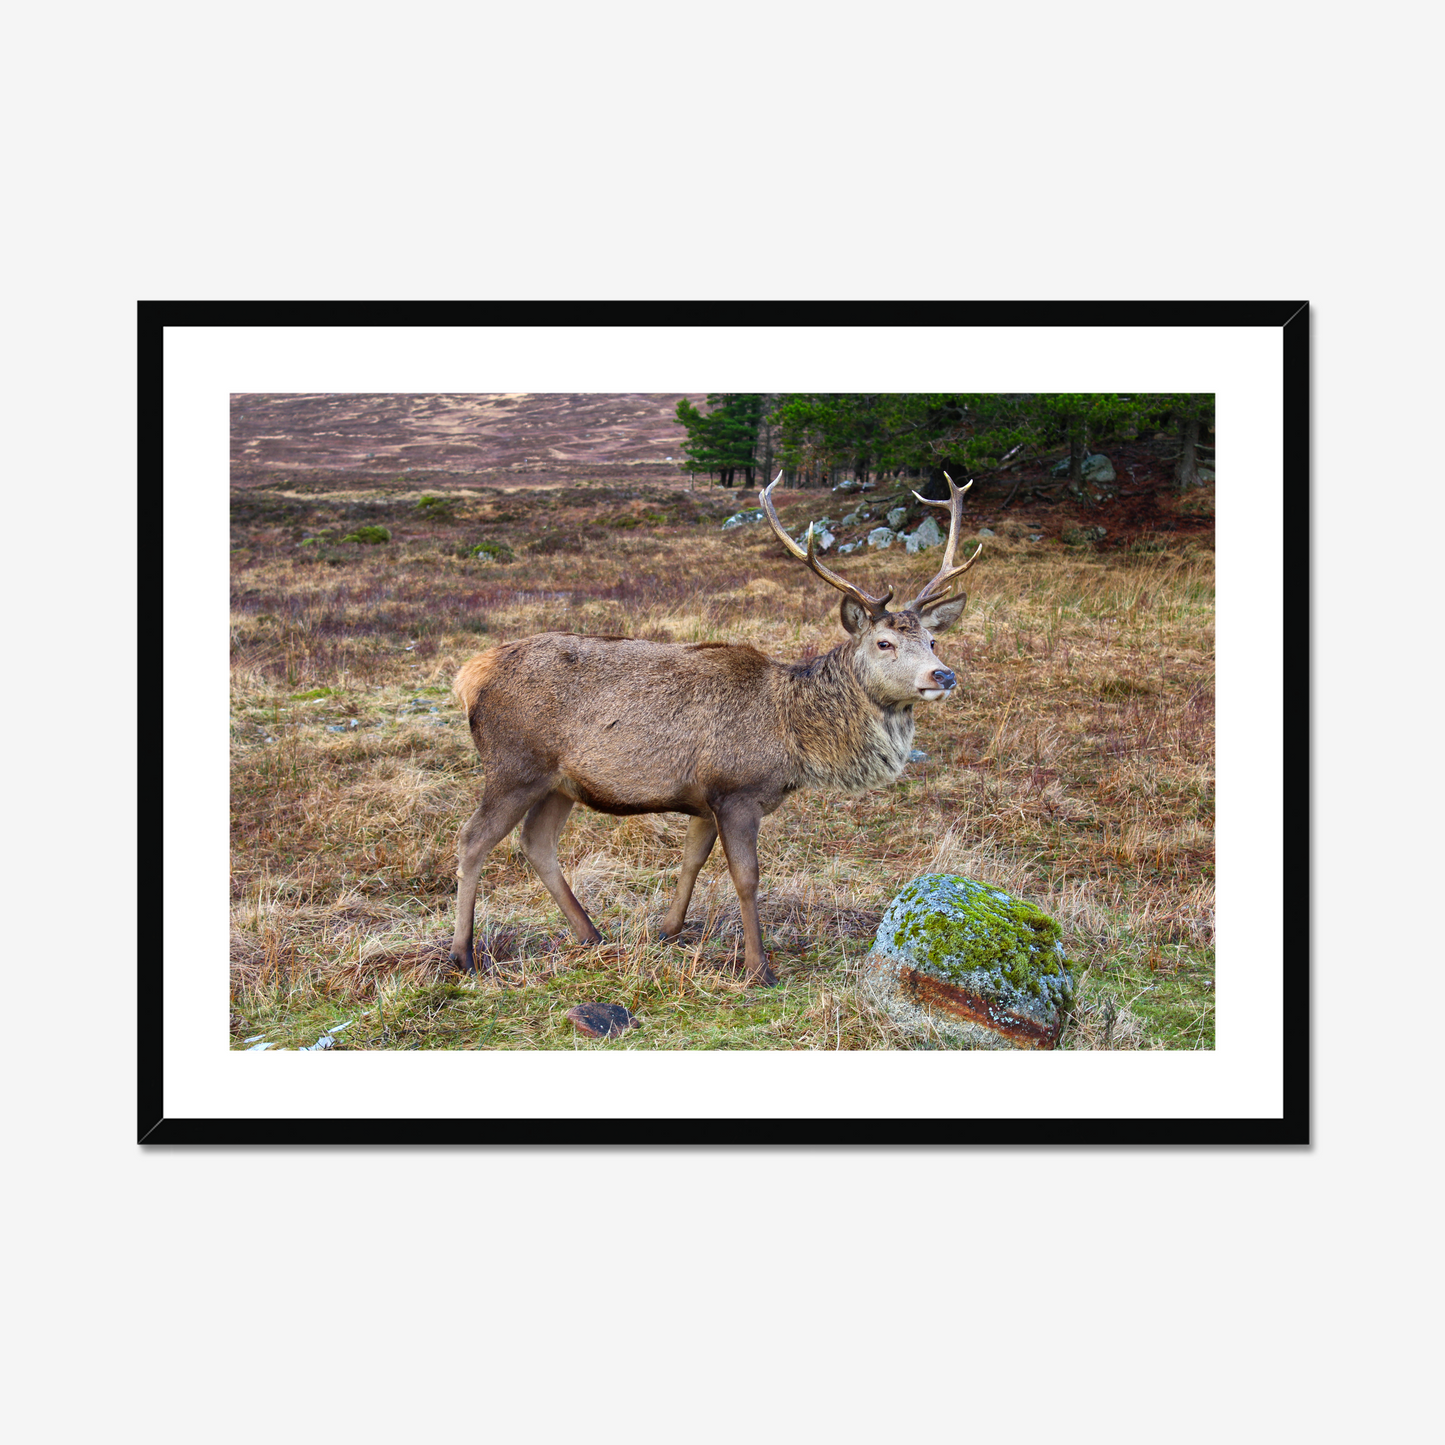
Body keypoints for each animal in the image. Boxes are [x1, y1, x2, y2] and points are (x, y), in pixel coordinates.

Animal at [449, 473, 982, 987]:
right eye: (884, 642)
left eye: (933, 640)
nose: (943, 675)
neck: (793, 737)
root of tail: (470, 674)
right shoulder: (736, 791)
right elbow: (747, 878)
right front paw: (759, 968)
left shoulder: (704, 800)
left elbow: (691, 860)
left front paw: (667, 931)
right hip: (514, 766)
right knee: (472, 839)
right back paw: (464, 955)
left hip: (560, 783)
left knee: (536, 842)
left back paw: (591, 934)